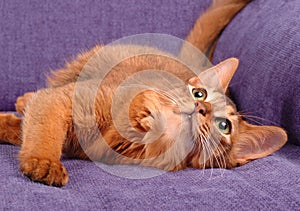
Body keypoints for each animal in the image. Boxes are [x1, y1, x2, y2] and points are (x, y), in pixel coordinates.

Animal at [0, 0, 286, 188]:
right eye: (199, 94)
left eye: (224, 126)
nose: (200, 108)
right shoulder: (64, 100)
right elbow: (44, 129)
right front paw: (43, 161)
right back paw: (24, 100)